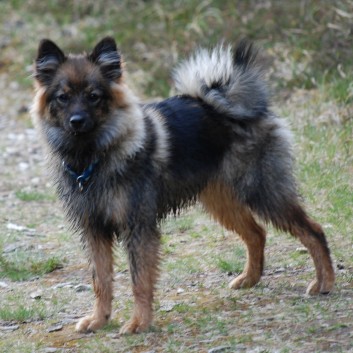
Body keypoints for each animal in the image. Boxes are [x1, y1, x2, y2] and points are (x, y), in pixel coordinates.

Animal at [31, 37, 334, 334]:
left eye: (93, 96)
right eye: (63, 97)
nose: (77, 121)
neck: (93, 157)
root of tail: (230, 103)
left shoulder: (138, 227)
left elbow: (139, 280)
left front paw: (139, 322)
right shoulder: (94, 230)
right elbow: (101, 281)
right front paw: (99, 319)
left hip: (263, 193)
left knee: (313, 231)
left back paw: (325, 283)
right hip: (222, 202)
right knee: (257, 234)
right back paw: (250, 279)